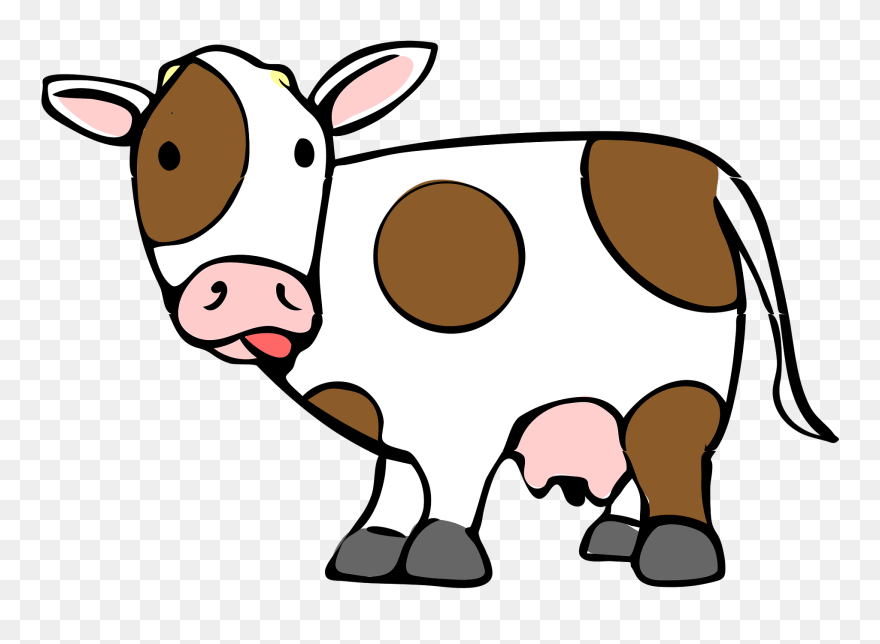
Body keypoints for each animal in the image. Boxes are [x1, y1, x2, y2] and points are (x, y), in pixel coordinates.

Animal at [42, 42, 838, 588]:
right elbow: (394, 474)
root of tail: (698, 166)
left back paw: (674, 556)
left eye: (307, 150)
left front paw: (441, 559)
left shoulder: (467, 403)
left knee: (672, 449)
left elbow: (453, 477)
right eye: (165, 153)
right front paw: (368, 550)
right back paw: (613, 538)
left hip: (678, 371)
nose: (247, 285)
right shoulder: (395, 408)